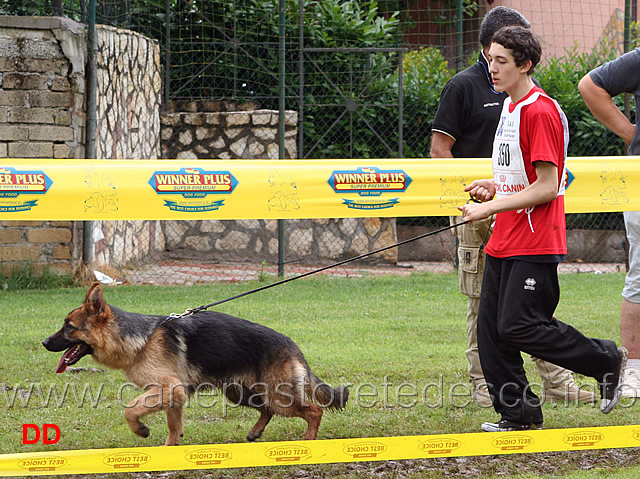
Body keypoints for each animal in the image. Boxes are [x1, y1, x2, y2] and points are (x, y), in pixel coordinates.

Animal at [42, 284, 348, 446]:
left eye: (68, 327)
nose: (45, 342)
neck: (140, 339)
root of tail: (291, 344)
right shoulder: (174, 396)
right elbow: (173, 426)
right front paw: (169, 451)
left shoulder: (169, 389)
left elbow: (131, 409)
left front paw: (141, 430)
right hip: (241, 393)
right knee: (267, 410)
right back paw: (256, 432)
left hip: (278, 395)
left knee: (314, 410)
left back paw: (308, 441)